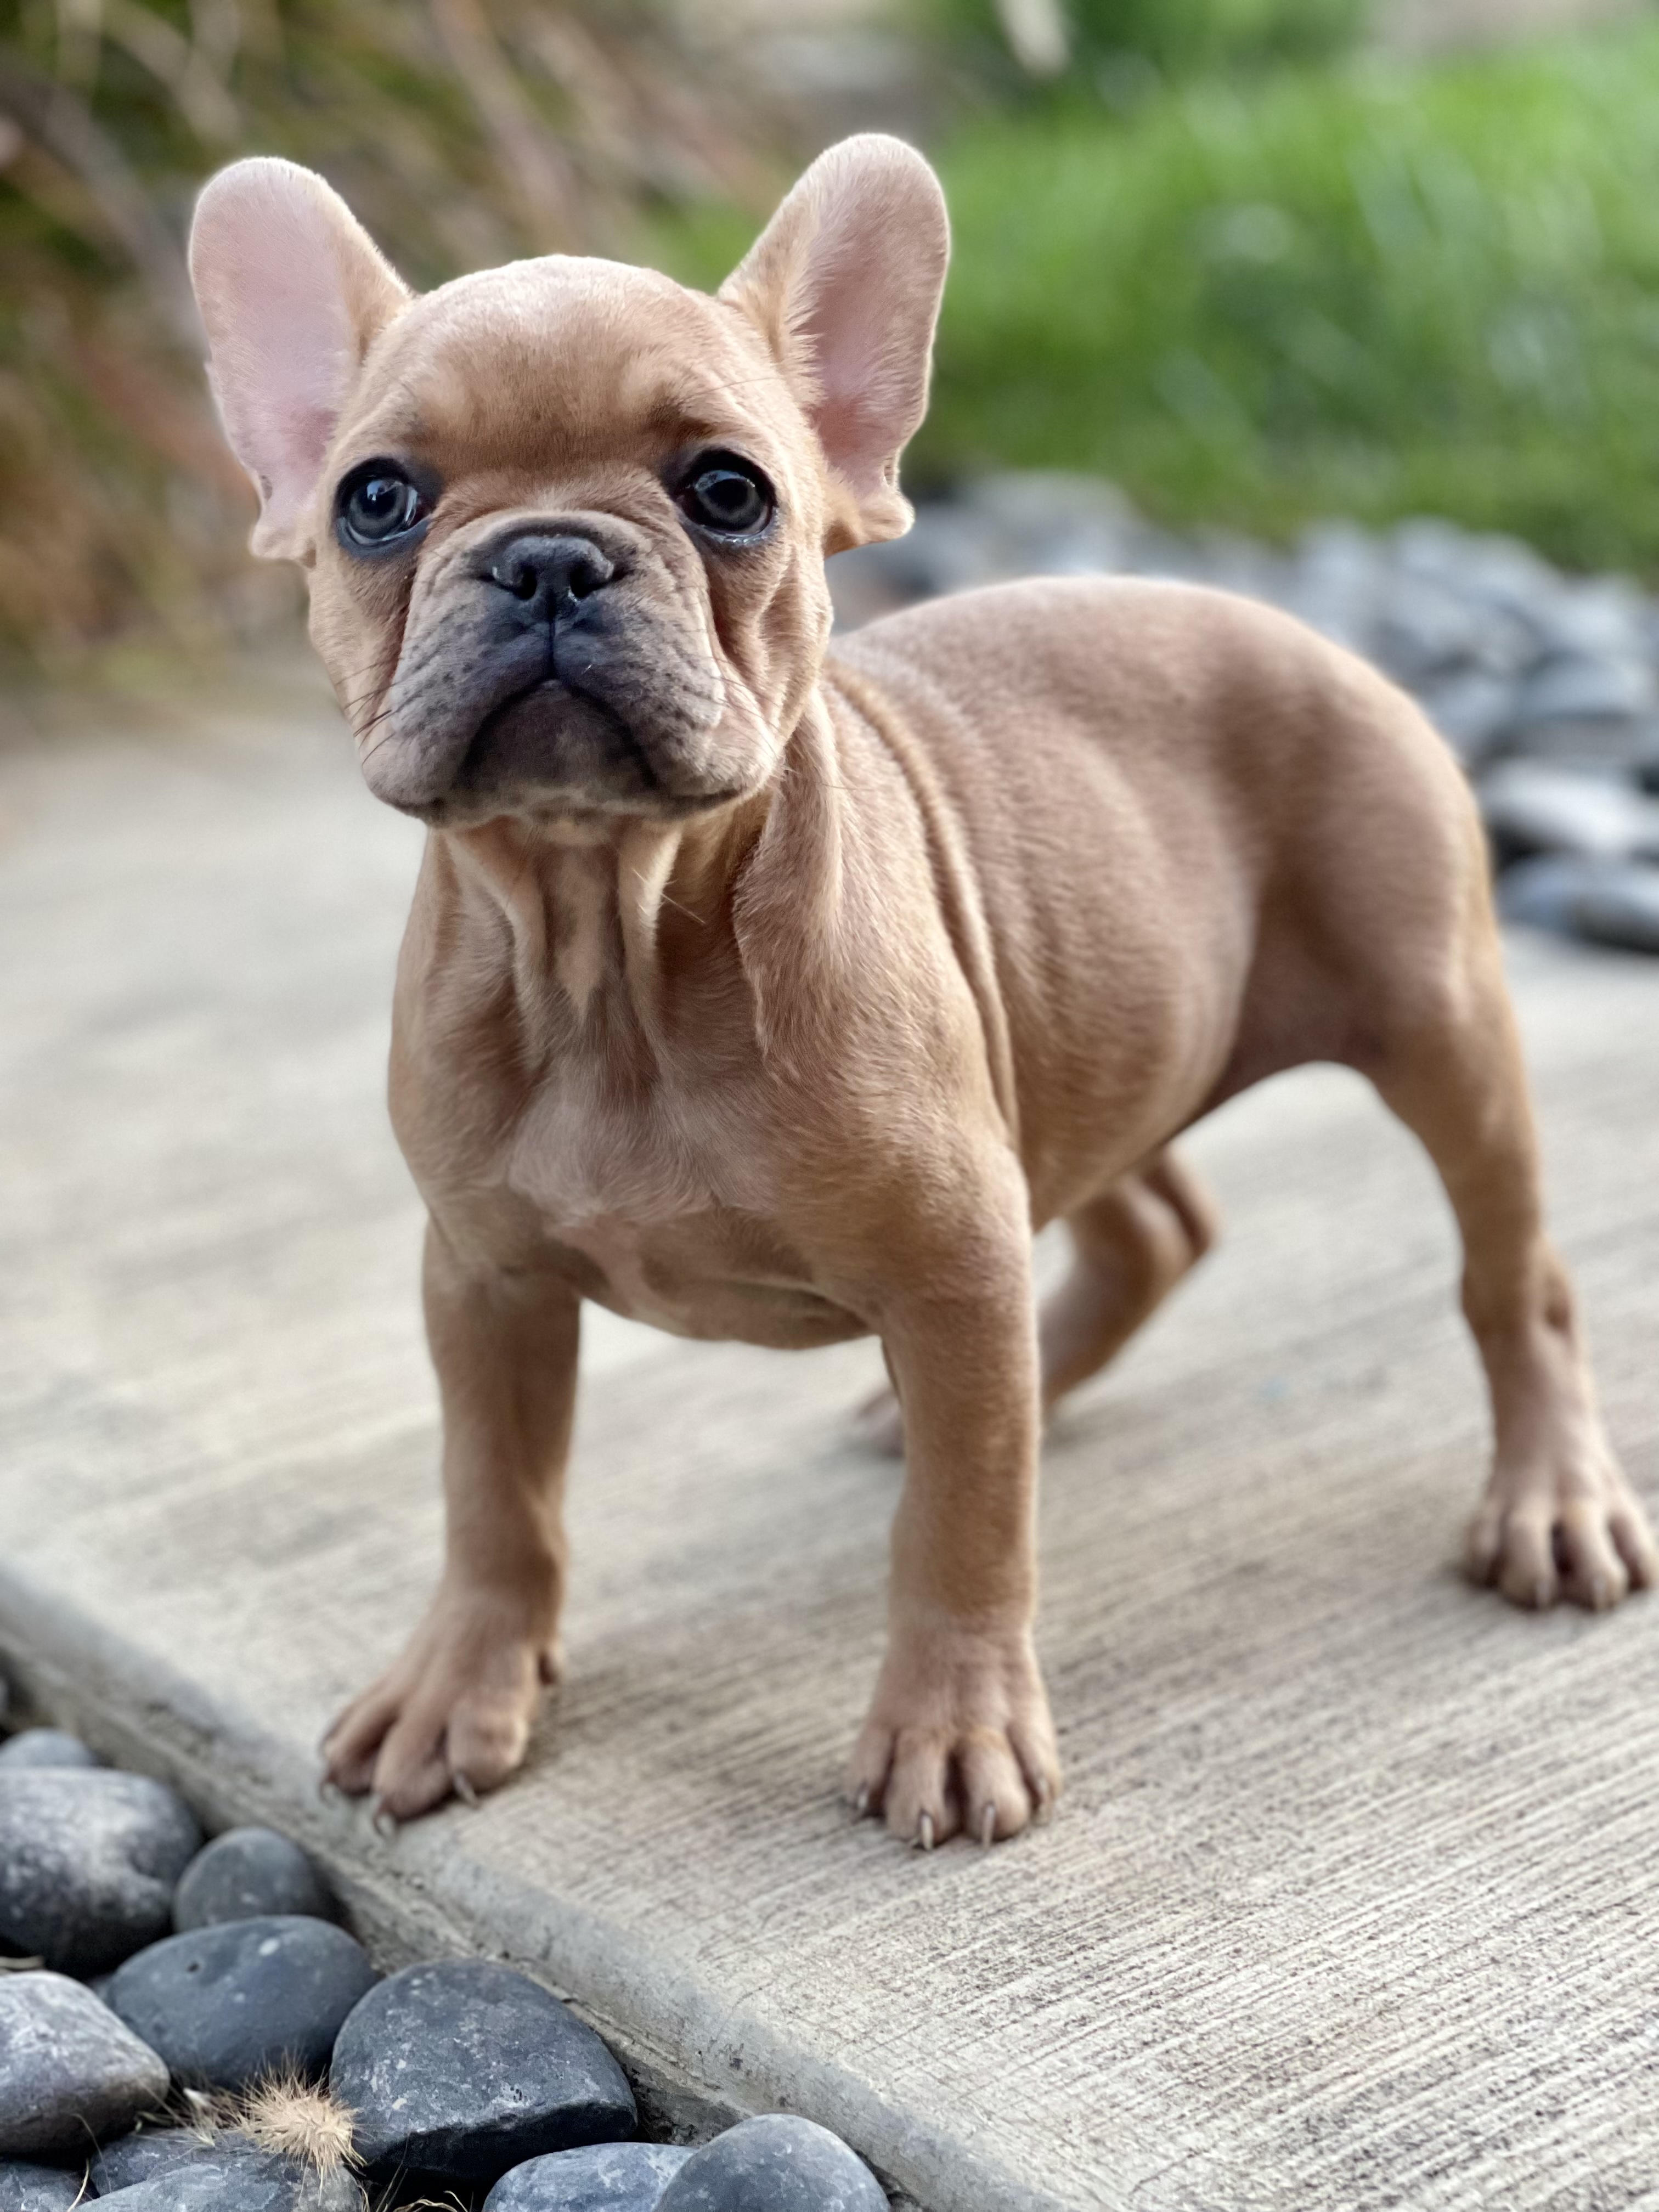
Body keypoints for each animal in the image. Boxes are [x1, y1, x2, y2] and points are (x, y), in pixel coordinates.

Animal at [186, 133, 1656, 1849]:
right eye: (376, 500)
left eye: (728, 491)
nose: (551, 556)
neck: (615, 948)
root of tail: (1315, 638)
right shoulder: (483, 1280)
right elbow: (496, 1500)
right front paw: (461, 1682)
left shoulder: (952, 1261)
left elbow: (963, 1527)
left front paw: (951, 1726)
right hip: (1070, 1041)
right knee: (1150, 1232)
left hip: (1438, 1023)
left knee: (1513, 1282)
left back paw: (1552, 1501)